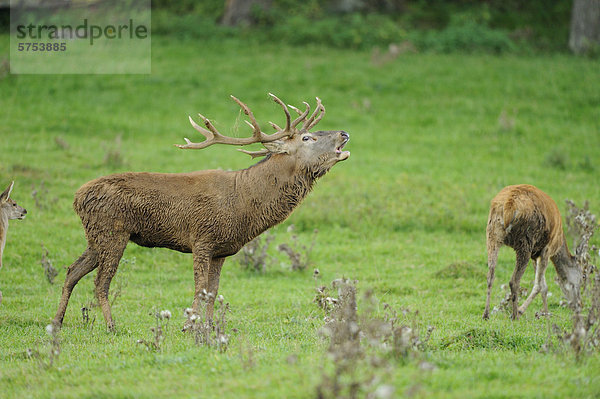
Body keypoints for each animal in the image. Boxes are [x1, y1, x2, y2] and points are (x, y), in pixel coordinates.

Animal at [54, 94, 352, 332]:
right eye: (307, 137)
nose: (344, 133)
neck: (243, 206)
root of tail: (77, 197)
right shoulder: (202, 238)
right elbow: (200, 288)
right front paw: (188, 325)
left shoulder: (222, 249)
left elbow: (214, 290)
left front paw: (209, 325)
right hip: (113, 231)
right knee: (100, 281)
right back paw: (111, 325)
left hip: (96, 236)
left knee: (72, 270)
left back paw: (57, 321)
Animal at [482, 185, 580, 322]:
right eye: (581, 278)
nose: (579, 304)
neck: (559, 243)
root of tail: (508, 207)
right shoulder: (546, 250)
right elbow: (541, 286)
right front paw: (543, 314)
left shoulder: (536, 254)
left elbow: (542, 284)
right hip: (525, 241)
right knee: (514, 281)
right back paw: (515, 315)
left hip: (492, 234)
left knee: (490, 275)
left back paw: (486, 314)